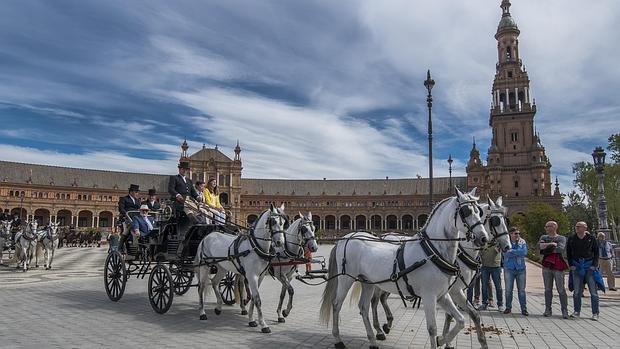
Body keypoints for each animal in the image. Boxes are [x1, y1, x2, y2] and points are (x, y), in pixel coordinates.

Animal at [194, 203, 288, 334]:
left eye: (283, 222)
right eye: (273, 221)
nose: (280, 242)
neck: (255, 246)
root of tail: (207, 236)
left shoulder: (260, 276)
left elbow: (253, 298)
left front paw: (251, 320)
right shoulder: (252, 276)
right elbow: (257, 299)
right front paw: (263, 325)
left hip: (222, 267)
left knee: (215, 282)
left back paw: (218, 307)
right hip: (204, 266)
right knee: (201, 287)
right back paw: (202, 313)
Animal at [320, 188, 490, 348]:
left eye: (479, 212)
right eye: (465, 211)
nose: (483, 238)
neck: (433, 250)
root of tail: (346, 237)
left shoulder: (443, 294)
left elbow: (461, 320)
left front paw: (442, 340)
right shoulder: (430, 295)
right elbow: (432, 328)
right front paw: (440, 339)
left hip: (367, 282)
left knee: (364, 307)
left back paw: (373, 339)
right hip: (345, 279)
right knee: (337, 304)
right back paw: (338, 339)